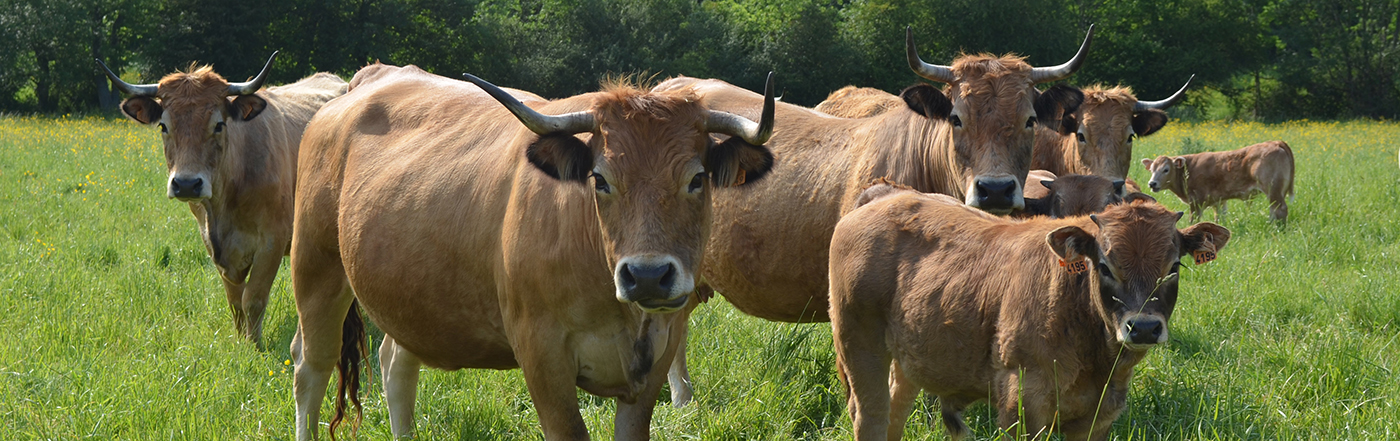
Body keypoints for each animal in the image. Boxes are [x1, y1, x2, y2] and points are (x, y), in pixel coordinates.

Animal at [96, 53, 347, 344]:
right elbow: (235, 301)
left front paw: (254, 345)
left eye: (219, 124)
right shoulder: (213, 244)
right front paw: (240, 341)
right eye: (163, 125)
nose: (186, 184)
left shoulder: (272, 240)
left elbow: (253, 299)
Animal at [287, 64, 778, 439]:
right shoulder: (541, 354)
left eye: (697, 178)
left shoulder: (657, 356)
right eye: (599, 179)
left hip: (408, 296)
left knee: (396, 368)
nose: (647, 276)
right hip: (316, 269)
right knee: (310, 368)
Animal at [828, 187, 1226, 441]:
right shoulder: (1024, 406)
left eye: (1173, 266)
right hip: (858, 346)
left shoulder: (1098, 416)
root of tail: (886, 197)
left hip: (906, 358)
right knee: (870, 417)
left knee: (894, 413)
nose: (1143, 327)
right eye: (1104, 265)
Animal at [1142, 141, 1293, 222]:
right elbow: (1219, 219)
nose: (1152, 183)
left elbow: (1193, 220)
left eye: (1166, 169)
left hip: (1273, 190)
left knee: (1279, 209)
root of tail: (1276, 142)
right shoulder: (1219, 201)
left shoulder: (1196, 201)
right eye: (1152, 169)